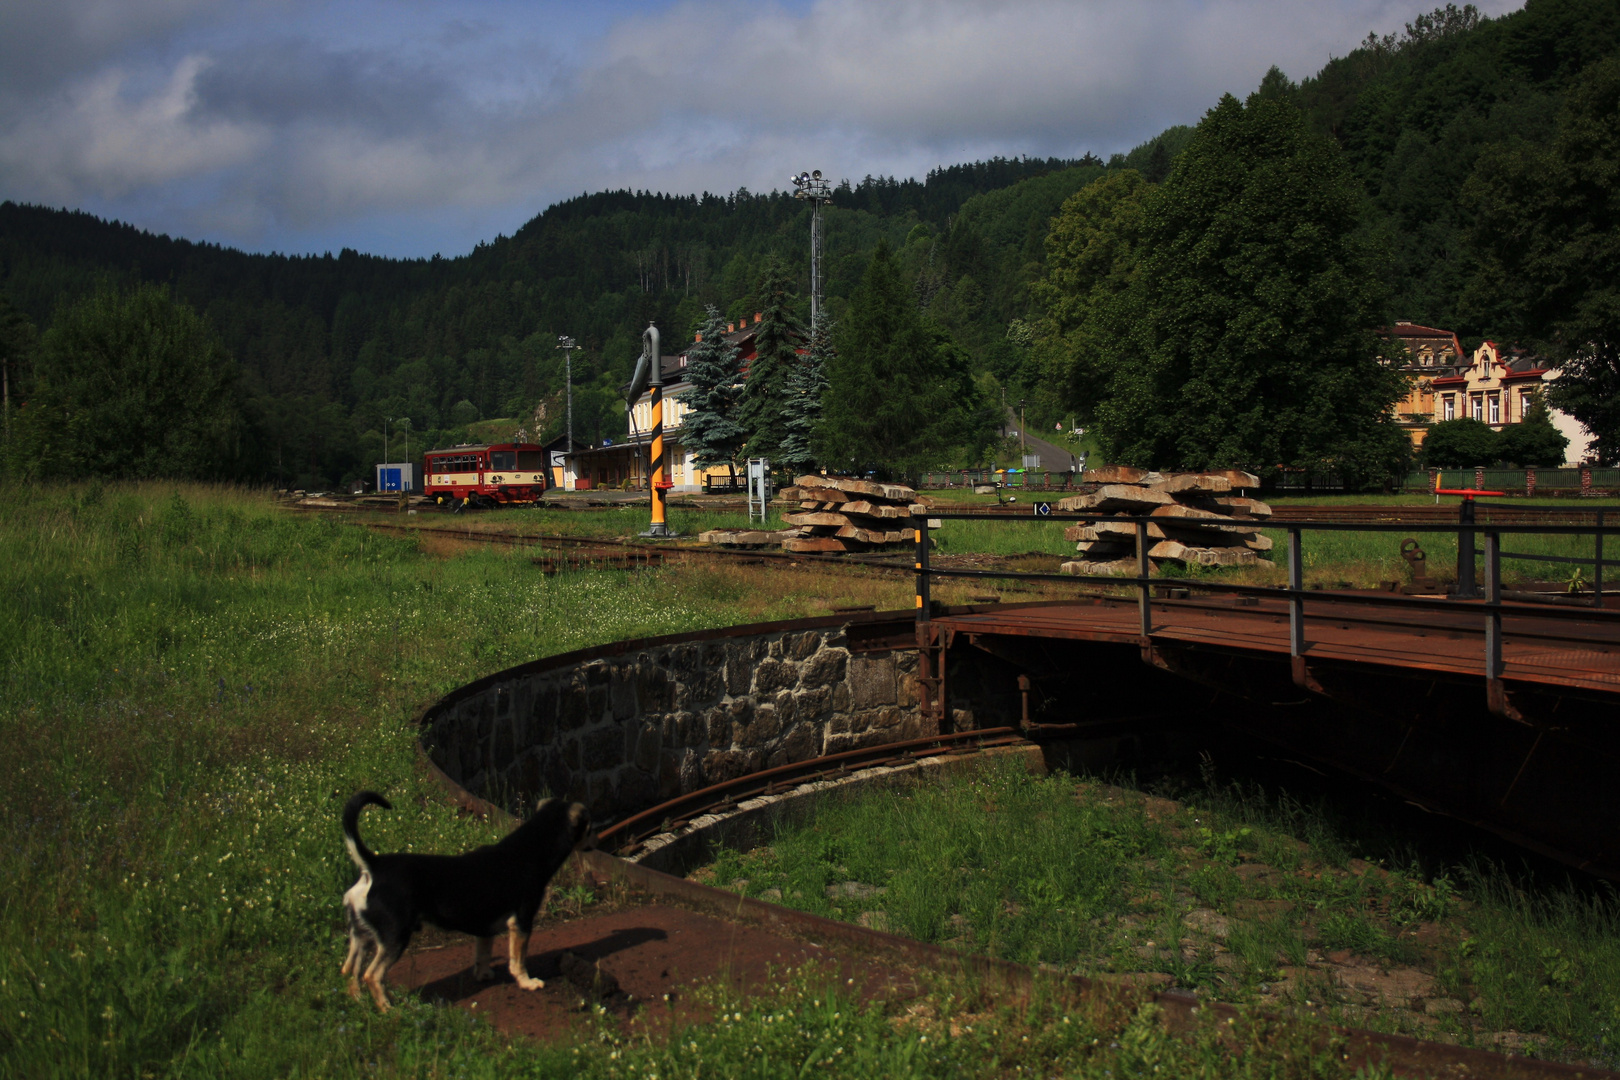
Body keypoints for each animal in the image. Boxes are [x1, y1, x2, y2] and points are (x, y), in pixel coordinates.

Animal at [338, 790, 592, 1010]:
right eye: (589, 829)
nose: (596, 840)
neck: (531, 848)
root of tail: (374, 866)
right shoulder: (522, 922)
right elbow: (518, 960)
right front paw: (527, 983)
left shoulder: (485, 928)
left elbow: (483, 954)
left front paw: (484, 975)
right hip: (395, 937)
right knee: (372, 975)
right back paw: (388, 1010)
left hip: (361, 937)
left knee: (350, 970)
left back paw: (358, 1003)